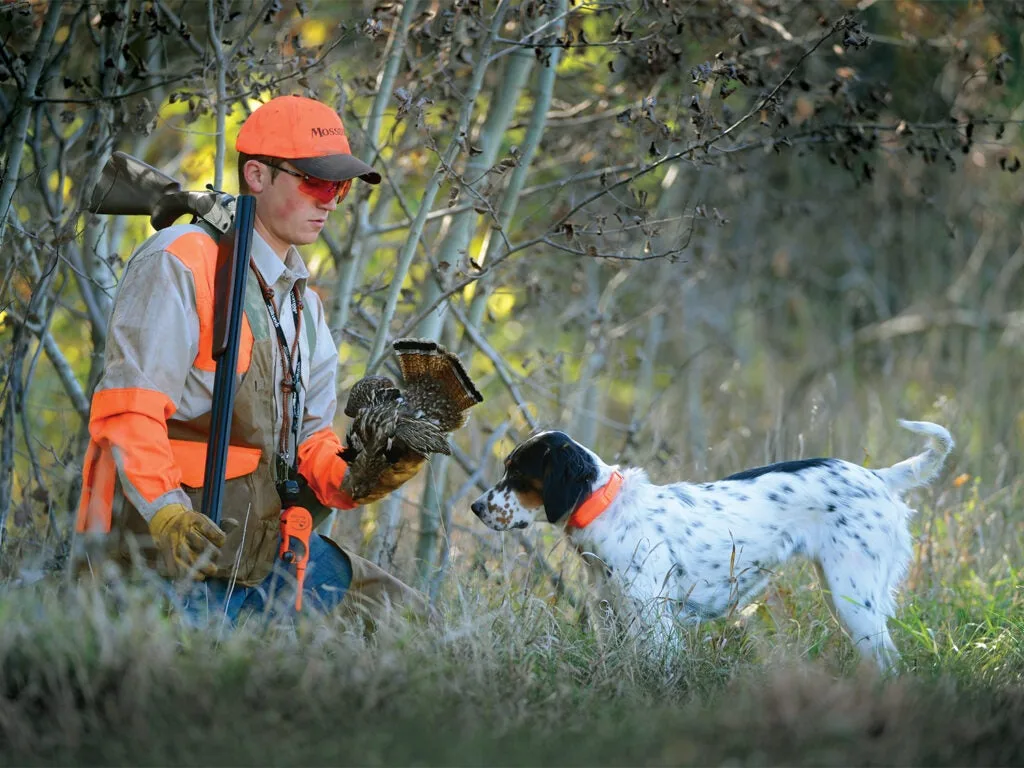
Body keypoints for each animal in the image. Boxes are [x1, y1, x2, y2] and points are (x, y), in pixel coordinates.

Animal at [471, 421, 950, 667]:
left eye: (517, 475)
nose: (475, 507)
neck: (608, 509)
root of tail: (879, 476)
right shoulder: (611, 614)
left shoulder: (655, 622)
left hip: (855, 597)